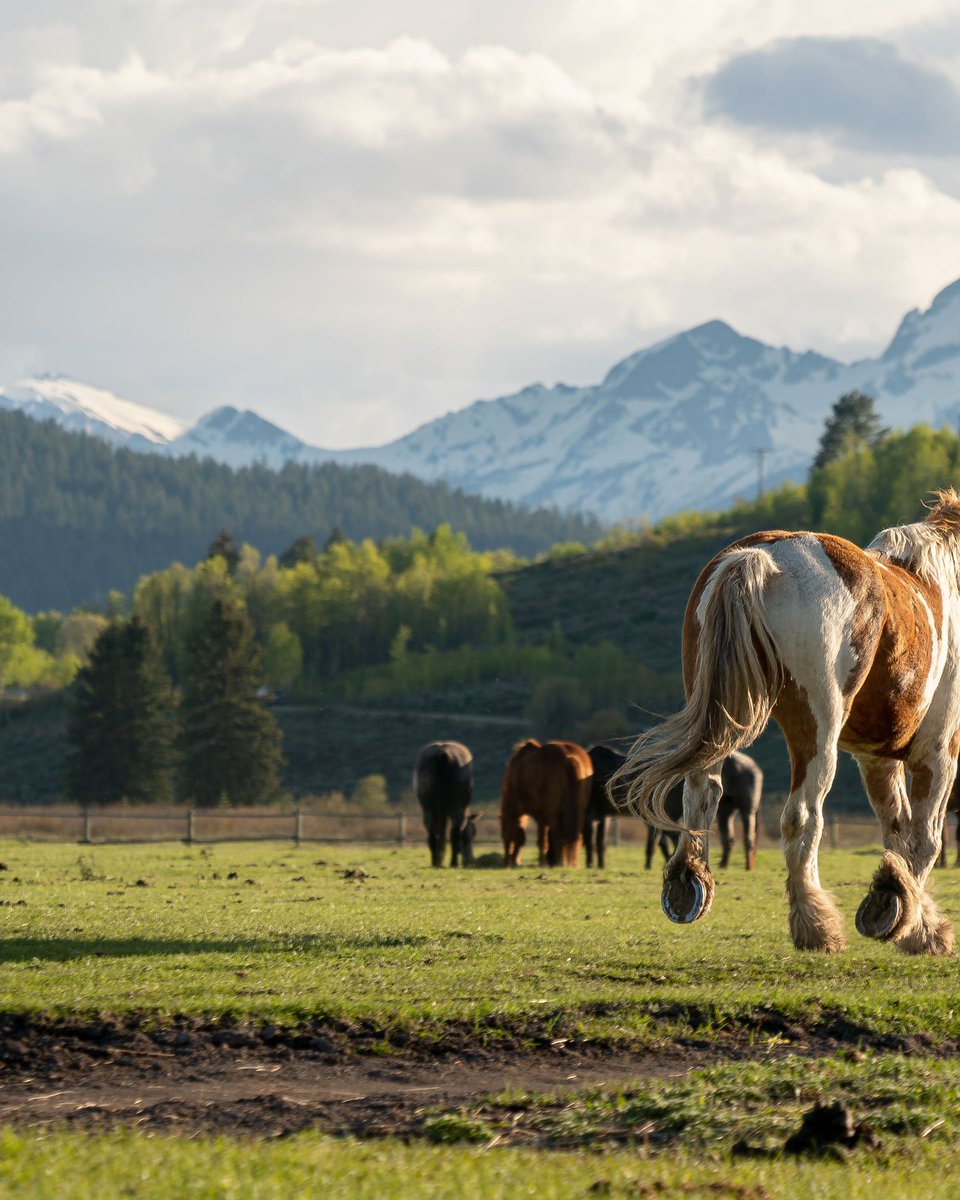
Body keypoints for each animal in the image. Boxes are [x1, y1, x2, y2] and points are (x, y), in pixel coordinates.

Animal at [586, 745, 761, 870]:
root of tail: (753, 767)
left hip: (746, 811)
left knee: (747, 838)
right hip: (725, 812)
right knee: (729, 839)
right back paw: (724, 865)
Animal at [618, 490, 960, 956]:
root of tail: (762, 556)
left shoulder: (877, 758)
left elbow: (898, 830)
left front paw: (910, 918)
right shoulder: (938, 750)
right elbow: (924, 838)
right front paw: (906, 917)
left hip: (722, 719)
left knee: (700, 791)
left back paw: (689, 883)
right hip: (816, 728)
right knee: (802, 816)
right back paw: (816, 925)